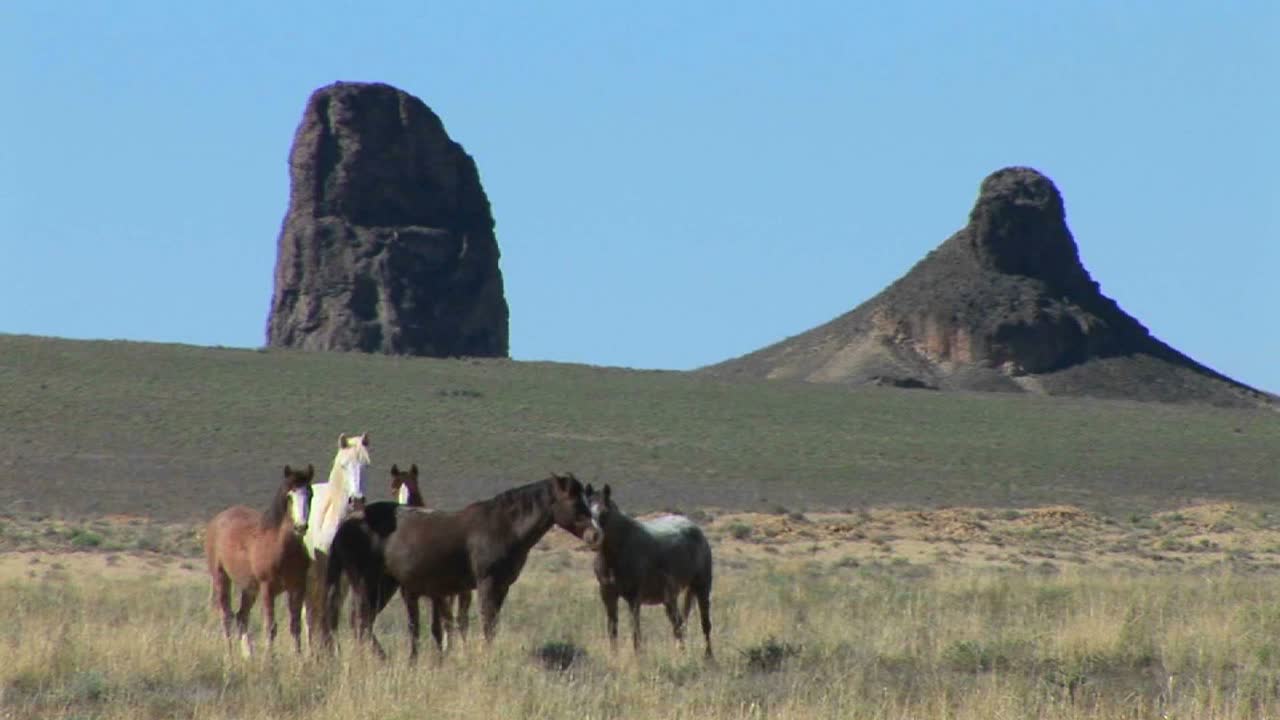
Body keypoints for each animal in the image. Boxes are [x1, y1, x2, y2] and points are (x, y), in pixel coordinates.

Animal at [204, 465, 314, 656]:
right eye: (289, 496)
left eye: (310, 494)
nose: (301, 527)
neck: (281, 547)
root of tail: (216, 521)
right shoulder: (267, 589)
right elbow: (270, 627)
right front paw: (269, 660)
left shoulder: (297, 587)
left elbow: (295, 626)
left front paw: (299, 659)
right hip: (221, 578)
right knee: (226, 617)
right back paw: (230, 657)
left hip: (249, 588)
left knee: (241, 616)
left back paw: (249, 656)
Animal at [302, 432, 370, 644]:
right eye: (343, 465)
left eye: (366, 465)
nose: (356, 500)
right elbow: (324, 614)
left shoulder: (349, 576)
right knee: (309, 613)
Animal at [323, 472, 594, 660]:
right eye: (575, 502)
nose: (594, 535)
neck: (504, 527)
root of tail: (347, 524)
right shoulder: (487, 584)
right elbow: (486, 623)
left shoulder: (502, 586)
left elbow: (490, 624)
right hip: (366, 582)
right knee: (361, 621)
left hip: (385, 584)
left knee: (362, 622)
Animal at [583, 483, 714, 659]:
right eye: (586, 510)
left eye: (604, 512)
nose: (592, 538)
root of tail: (696, 529)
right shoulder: (607, 595)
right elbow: (612, 628)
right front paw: (614, 657)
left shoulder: (633, 598)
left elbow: (635, 631)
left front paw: (638, 659)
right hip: (670, 598)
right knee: (678, 625)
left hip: (702, 587)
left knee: (704, 624)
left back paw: (709, 657)